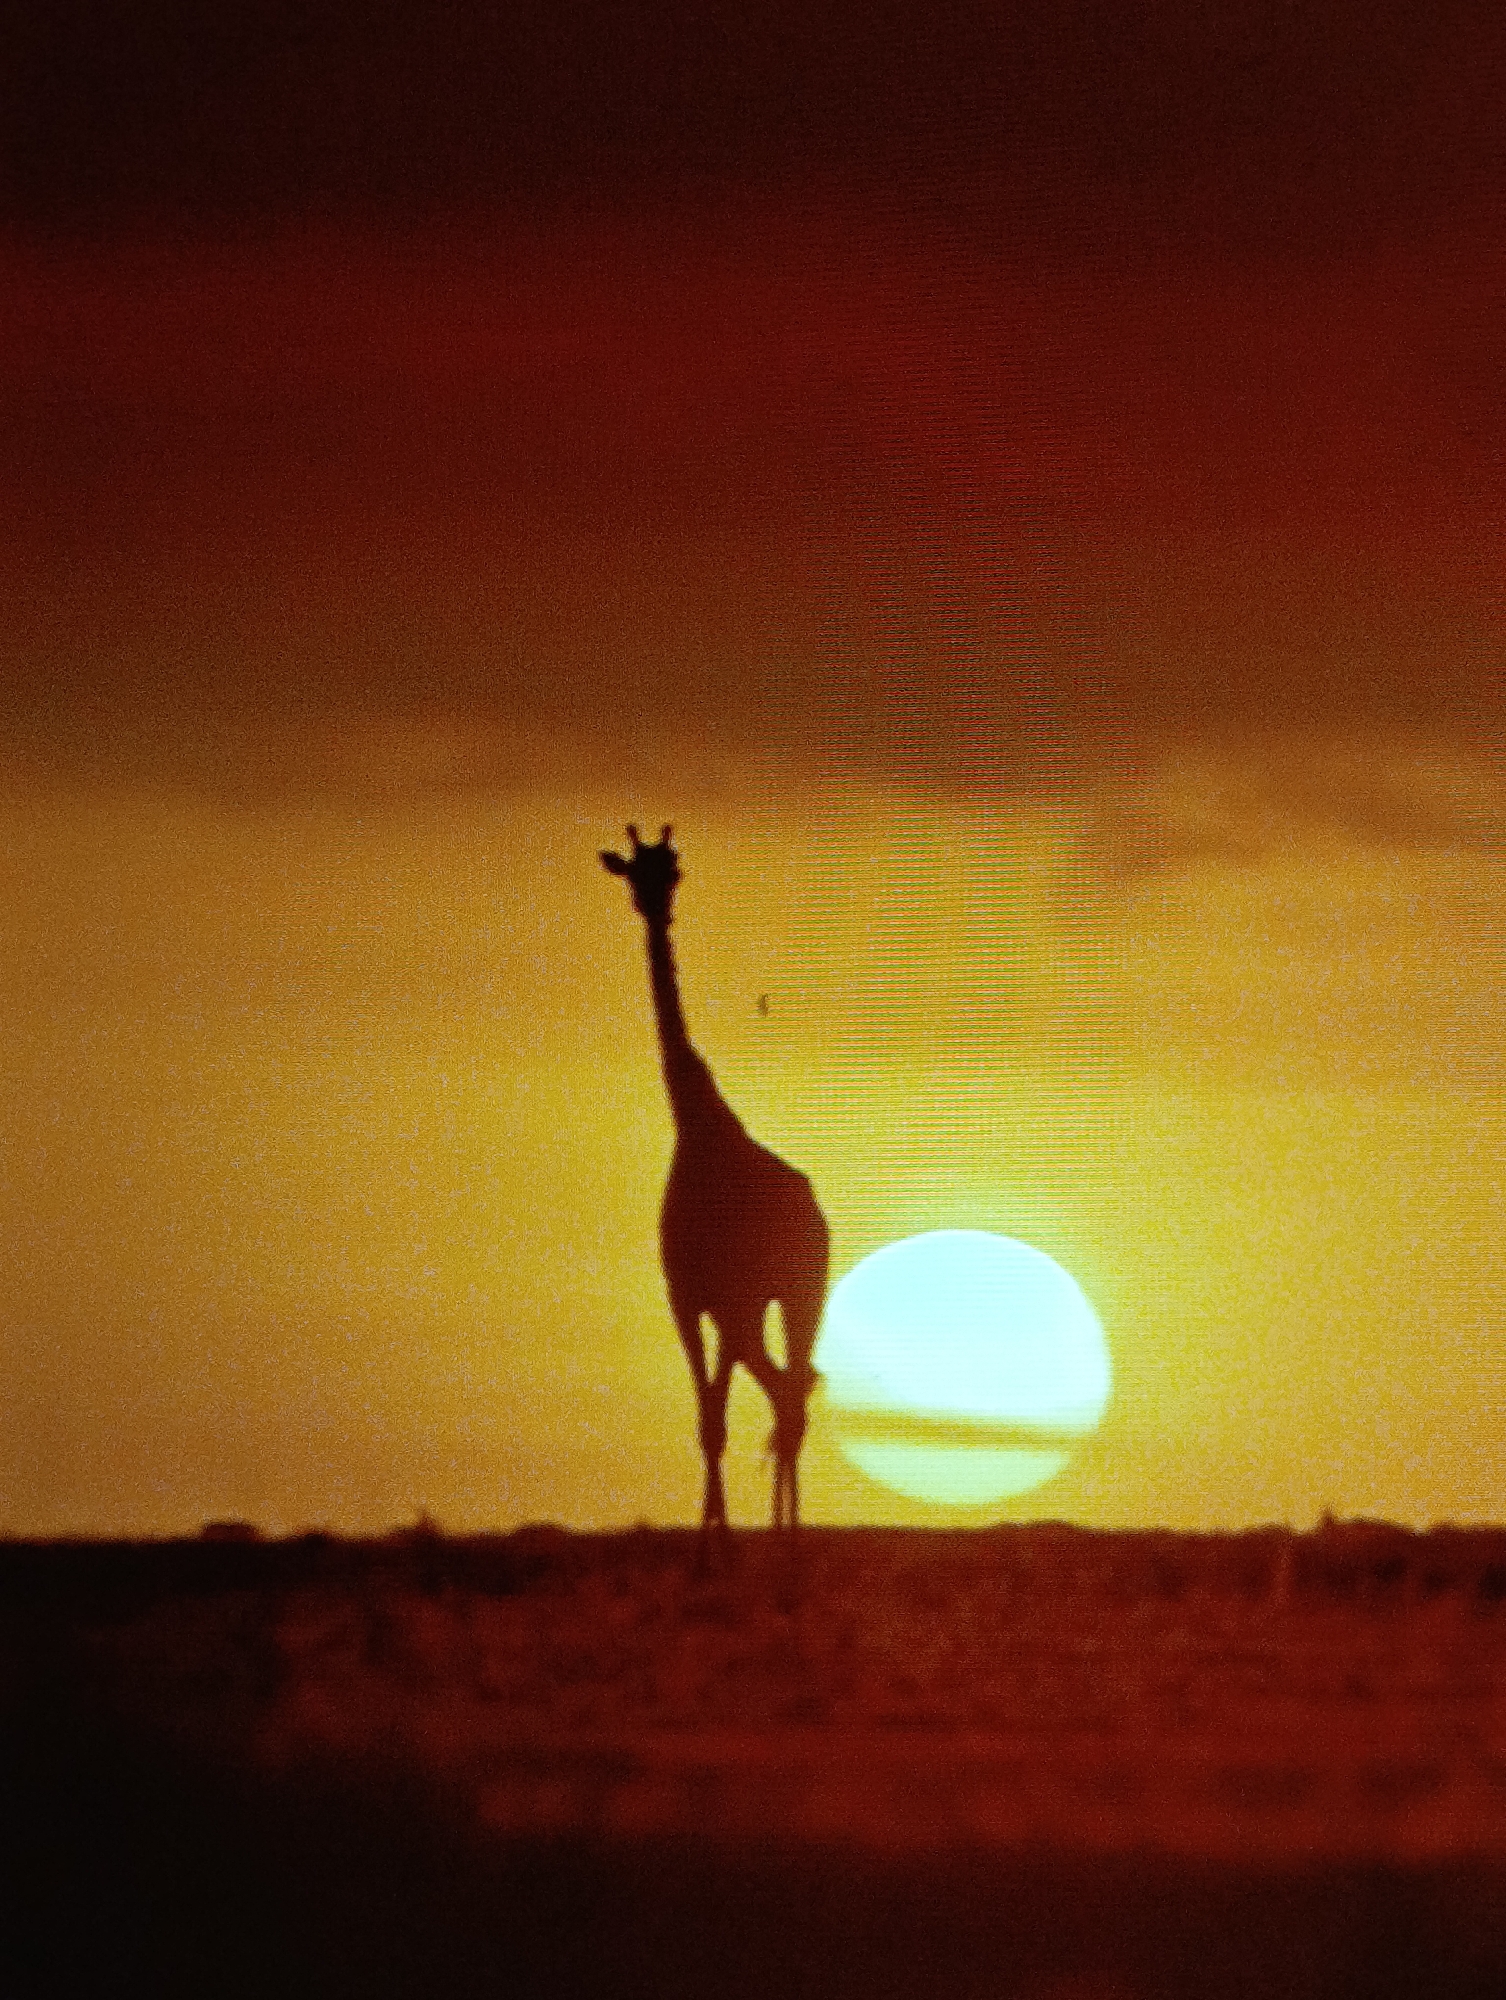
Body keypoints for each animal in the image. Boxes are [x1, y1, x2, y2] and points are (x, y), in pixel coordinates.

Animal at [601, 825, 829, 1533]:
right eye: (634, 872)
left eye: (673, 870)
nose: (656, 909)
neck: (697, 1125)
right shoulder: (689, 1299)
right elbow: (709, 1423)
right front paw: (710, 1545)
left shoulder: (720, 1300)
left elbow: (718, 1420)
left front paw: (721, 1545)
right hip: (772, 1305)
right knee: (787, 1393)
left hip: (791, 1297)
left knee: (789, 1397)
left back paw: (787, 1543)